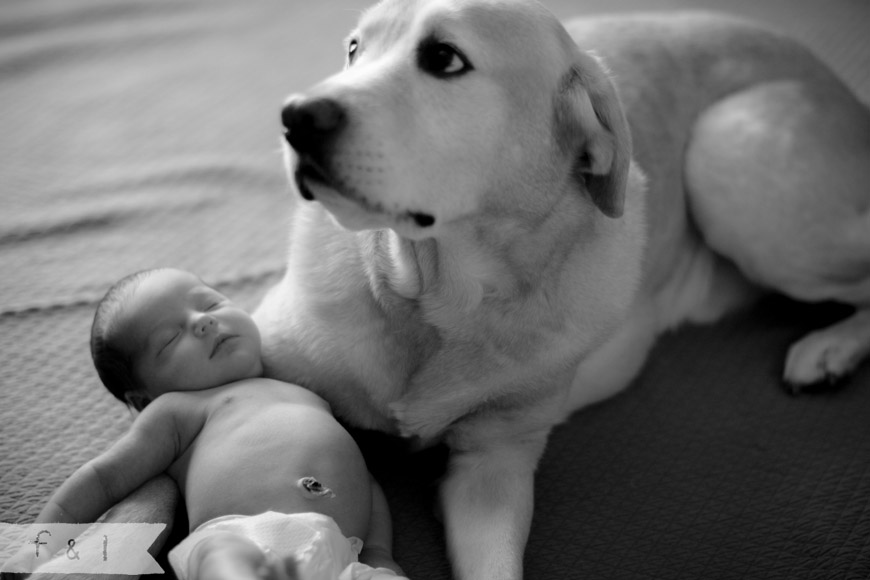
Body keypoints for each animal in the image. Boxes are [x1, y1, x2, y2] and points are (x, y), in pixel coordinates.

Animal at [252, 2, 870, 576]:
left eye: (444, 58)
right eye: (354, 50)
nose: (296, 116)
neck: (434, 297)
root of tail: (843, 92)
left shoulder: (495, 466)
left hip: (728, 163)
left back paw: (828, 350)